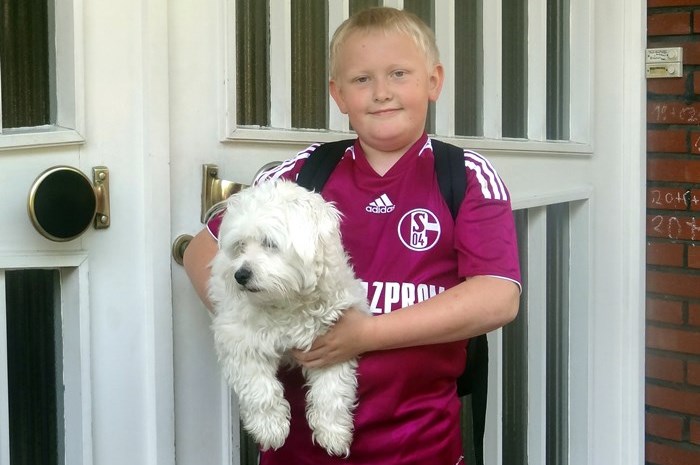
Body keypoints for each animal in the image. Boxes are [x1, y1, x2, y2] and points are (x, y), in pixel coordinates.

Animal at [208, 180, 369, 456]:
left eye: (269, 243)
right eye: (240, 246)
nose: (240, 275)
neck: (288, 301)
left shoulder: (333, 341)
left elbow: (332, 392)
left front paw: (333, 432)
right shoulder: (238, 341)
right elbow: (259, 389)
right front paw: (270, 428)